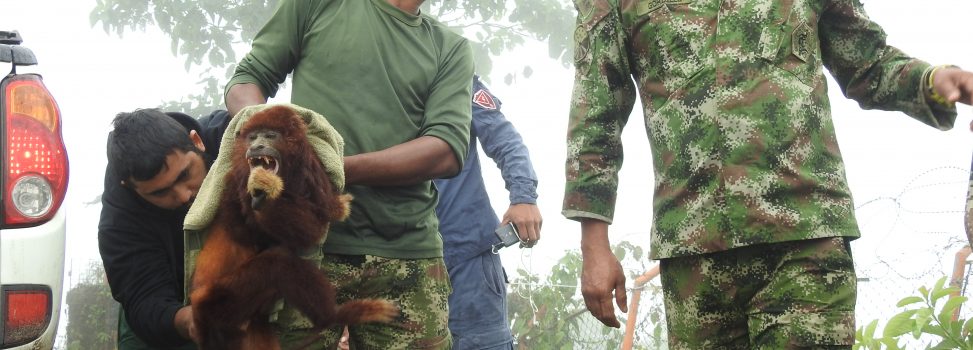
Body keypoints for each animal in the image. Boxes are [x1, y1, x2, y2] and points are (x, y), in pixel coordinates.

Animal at [190, 106, 394, 350]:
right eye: (252, 137)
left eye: (270, 136)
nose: (256, 147)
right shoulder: (235, 183)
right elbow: (245, 233)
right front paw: (263, 190)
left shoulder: (309, 172)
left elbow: (314, 225)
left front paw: (266, 192)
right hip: (218, 301)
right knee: (278, 262)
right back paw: (335, 316)